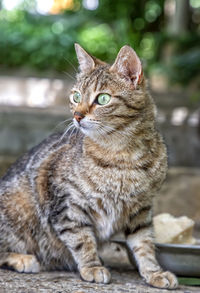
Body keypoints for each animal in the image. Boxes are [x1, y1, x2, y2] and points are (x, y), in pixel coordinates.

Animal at [0, 43, 178, 288]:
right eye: (76, 96)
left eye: (102, 99)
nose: (77, 115)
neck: (123, 155)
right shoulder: (67, 204)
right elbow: (81, 239)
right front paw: (92, 266)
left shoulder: (140, 210)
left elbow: (144, 243)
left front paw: (154, 272)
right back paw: (22, 258)